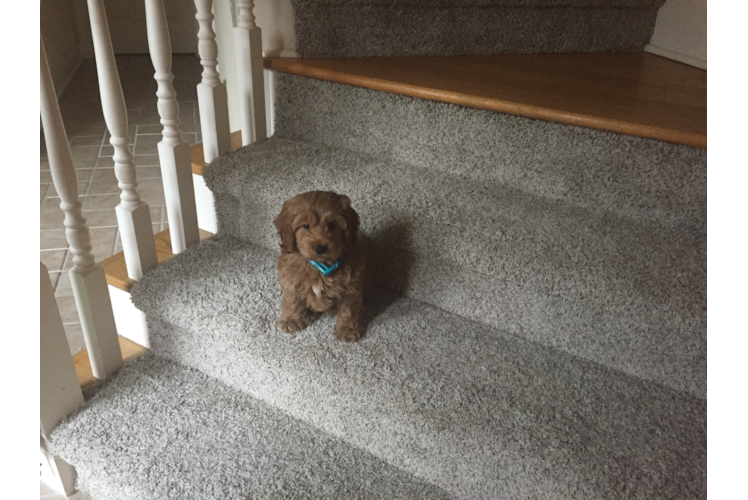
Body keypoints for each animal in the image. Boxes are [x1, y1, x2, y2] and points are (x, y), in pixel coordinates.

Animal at [274, 189, 368, 342]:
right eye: (306, 226)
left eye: (332, 225)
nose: (320, 248)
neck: (319, 266)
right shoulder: (291, 279)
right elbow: (292, 300)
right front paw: (291, 320)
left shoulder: (352, 286)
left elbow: (349, 310)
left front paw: (347, 331)